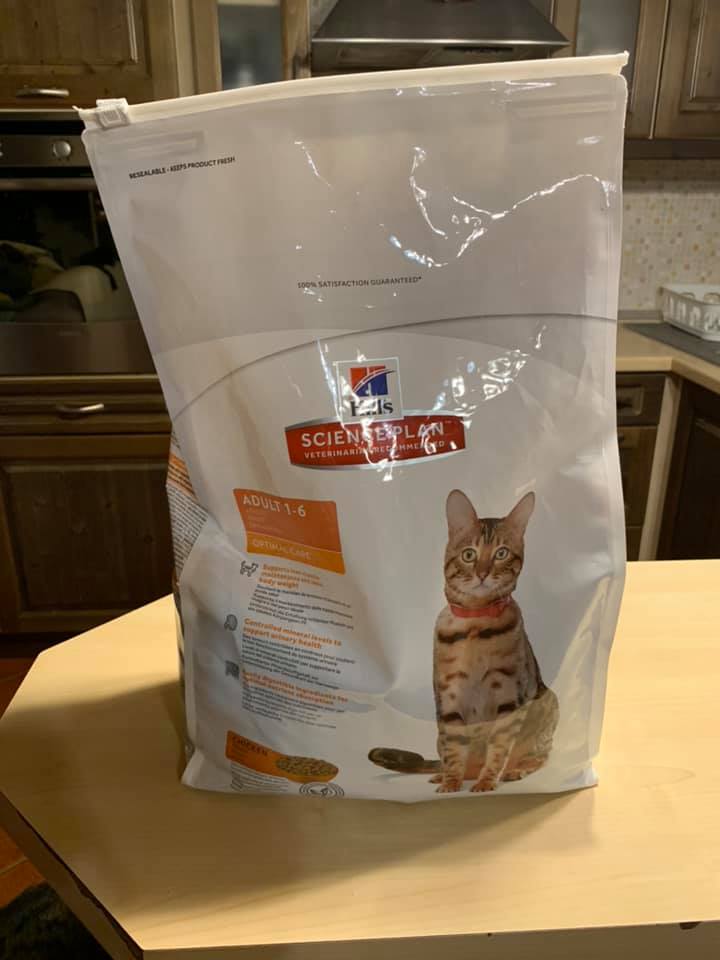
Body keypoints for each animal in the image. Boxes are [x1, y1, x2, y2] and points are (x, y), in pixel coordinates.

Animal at [369, 490, 558, 793]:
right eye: (469, 554)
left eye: (501, 553)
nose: (482, 573)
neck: (475, 625)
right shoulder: (449, 696)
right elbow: (455, 748)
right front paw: (451, 784)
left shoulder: (507, 695)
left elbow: (499, 746)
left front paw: (486, 781)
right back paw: (445, 774)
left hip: (548, 702)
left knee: (540, 754)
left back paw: (515, 769)